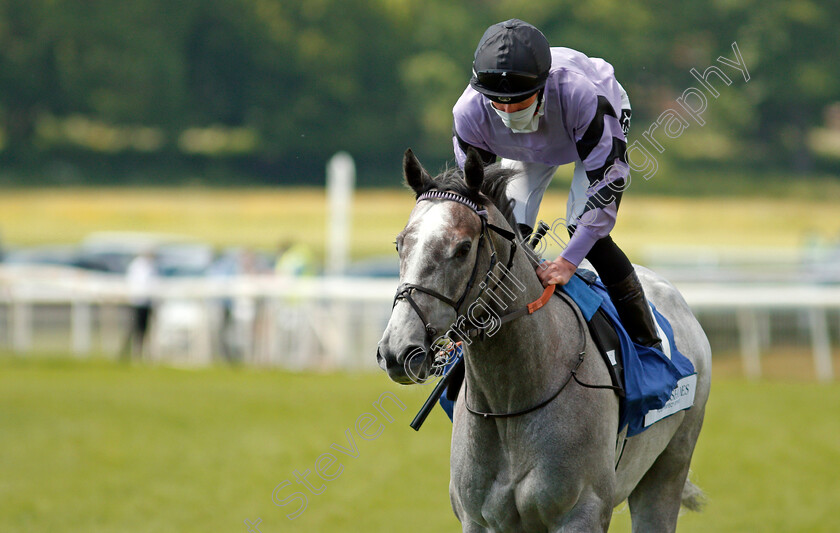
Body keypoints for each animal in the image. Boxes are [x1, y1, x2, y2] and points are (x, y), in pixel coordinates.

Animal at [378, 149, 712, 532]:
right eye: (400, 244)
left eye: (462, 249)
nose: (397, 350)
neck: (511, 400)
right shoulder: (478, 519)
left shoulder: (581, 513)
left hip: (668, 468)